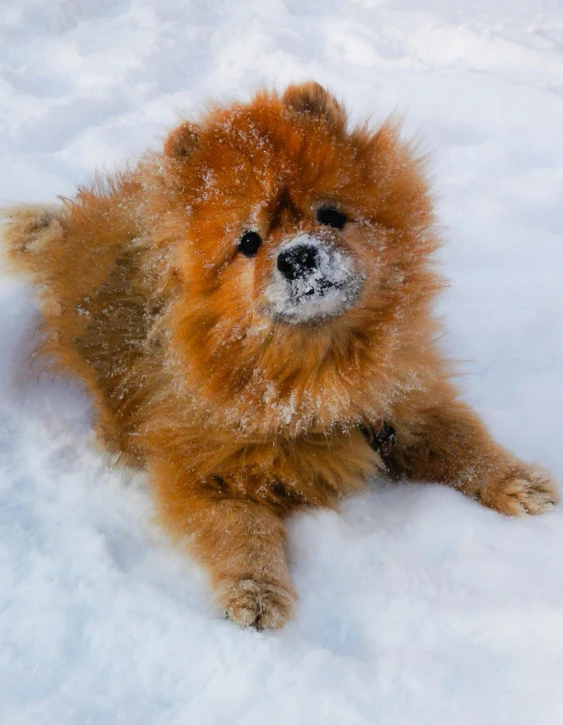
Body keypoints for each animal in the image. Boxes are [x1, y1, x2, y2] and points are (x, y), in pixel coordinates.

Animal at [3, 82, 560, 628]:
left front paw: (519, 482)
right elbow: (240, 530)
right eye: (248, 242)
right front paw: (256, 592)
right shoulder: (203, 467)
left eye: (330, 215)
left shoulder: (404, 402)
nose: (298, 255)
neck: (315, 371)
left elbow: (465, 442)